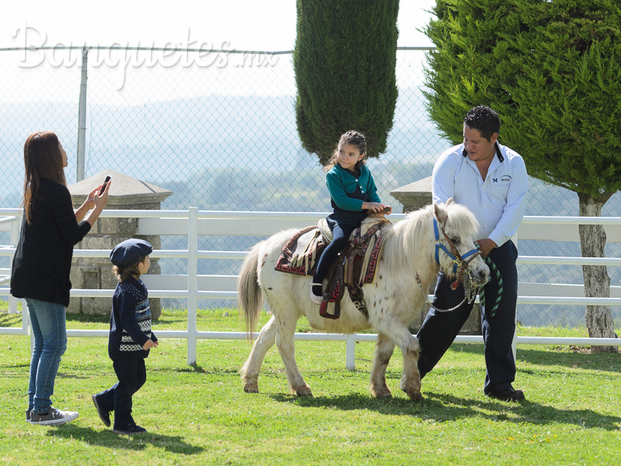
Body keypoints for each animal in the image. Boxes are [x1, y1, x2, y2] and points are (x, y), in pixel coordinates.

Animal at [235, 200, 486, 400]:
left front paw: (381, 389)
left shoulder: (394, 320)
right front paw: (412, 387)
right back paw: (301, 387)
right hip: (286, 311)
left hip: (285, 311)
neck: (400, 261)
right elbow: (412, 345)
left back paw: (250, 382)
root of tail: (265, 247)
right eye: (454, 238)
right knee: (284, 344)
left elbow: (385, 354)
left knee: (264, 339)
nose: (483, 272)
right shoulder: (385, 319)